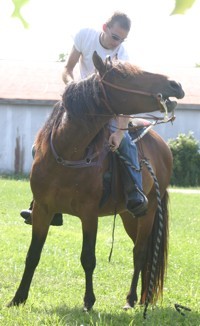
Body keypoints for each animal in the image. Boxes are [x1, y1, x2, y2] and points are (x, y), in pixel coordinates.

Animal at [7, 52, 184, 314]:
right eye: (123, 75)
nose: (176, 85)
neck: (69, 154)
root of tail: (162, 146)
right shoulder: (42, 210)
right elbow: (33, 255)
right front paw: (17, 298)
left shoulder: (89, 214)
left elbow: (88, 258)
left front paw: (89, 301)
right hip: (128, 215)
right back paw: (141, 297)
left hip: (149, 210)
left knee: (140, 253)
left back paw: (132, 299)